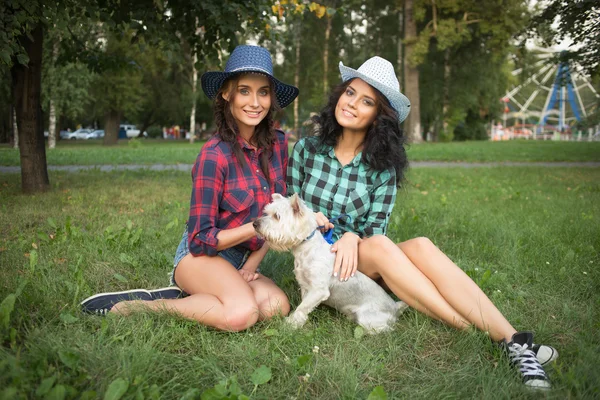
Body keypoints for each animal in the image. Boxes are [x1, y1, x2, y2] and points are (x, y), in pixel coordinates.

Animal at [253, 192, 408, 332]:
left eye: (277, 216)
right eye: (266, 213)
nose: (255, 223)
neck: (306, 249)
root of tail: (395, 307)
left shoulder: (318, 290)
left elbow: (302, 307)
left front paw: (290, 324)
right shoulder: (305, 287)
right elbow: (305, 305)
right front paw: (300, 322)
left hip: (368, 319)